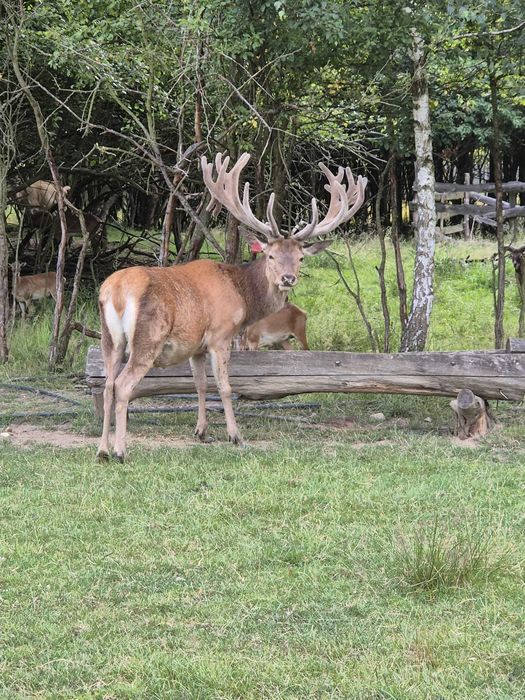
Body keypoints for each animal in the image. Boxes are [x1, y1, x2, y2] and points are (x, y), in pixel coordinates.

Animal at [97, 152, 367, 461]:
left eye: (300, 258)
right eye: (271, 256)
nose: (288, 278)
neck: (243, 295)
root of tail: (116, 291)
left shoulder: (196, 347)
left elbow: (200, 384)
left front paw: (201, 431)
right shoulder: (221, 334)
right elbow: (225, 387)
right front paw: (235, 435)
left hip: (110, 339)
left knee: (107, 385)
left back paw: (102, 450)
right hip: (148, 338)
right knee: (122, 385)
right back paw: (120, 451)